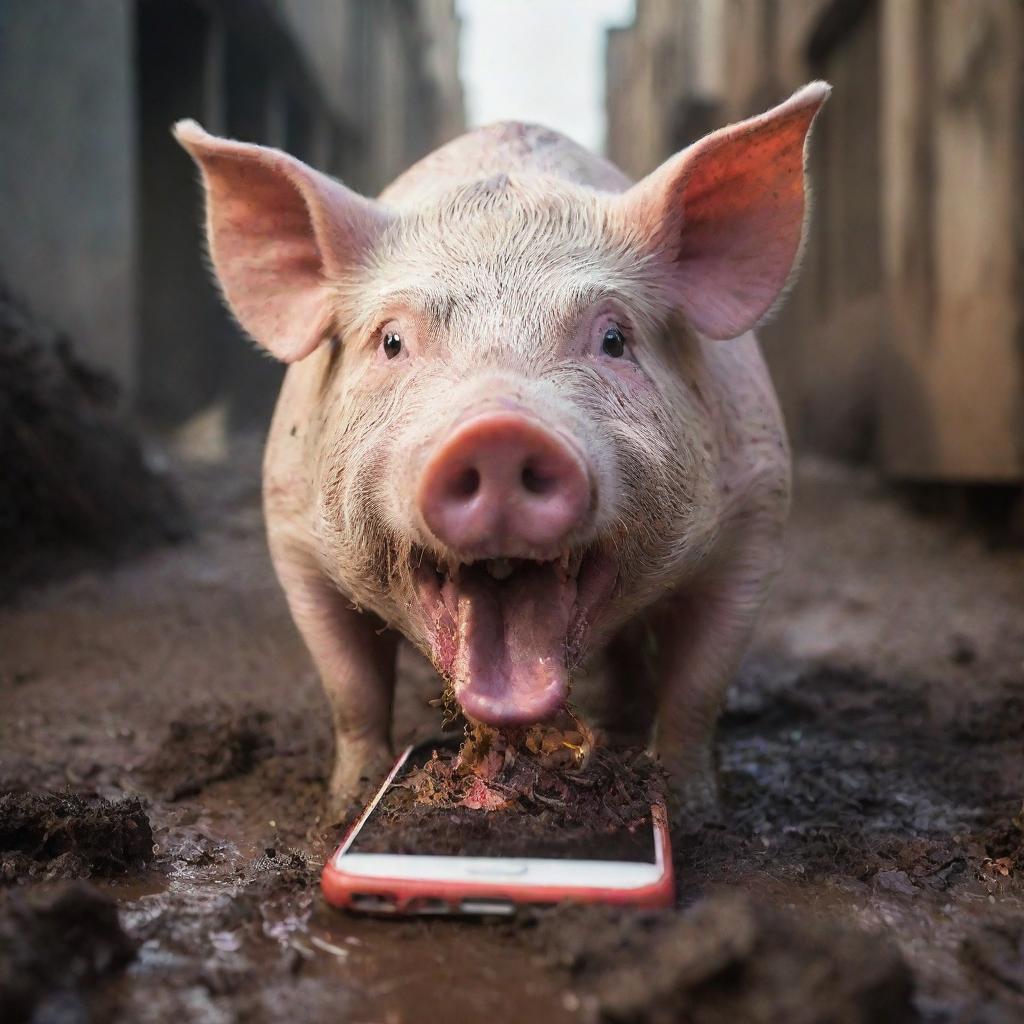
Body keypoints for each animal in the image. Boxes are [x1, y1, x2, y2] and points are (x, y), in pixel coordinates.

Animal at [176, 81, 827, 815]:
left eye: (613, 339)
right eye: (391, 341)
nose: (499, 433)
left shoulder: (757, 515)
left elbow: (698, 690)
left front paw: (694, 807)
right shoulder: (290, 531)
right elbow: (350, 689)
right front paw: (347, 803)